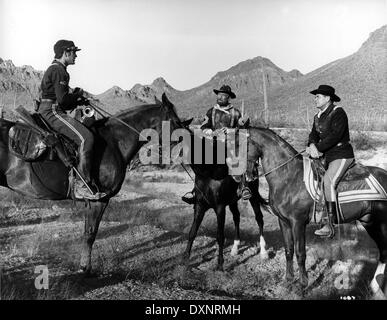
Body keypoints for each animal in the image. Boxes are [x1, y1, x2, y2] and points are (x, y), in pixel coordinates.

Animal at [0, 93, 183, 276]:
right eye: (175, 121)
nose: (181, 151)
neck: (115, 142)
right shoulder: (100, 199)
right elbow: (91, 234)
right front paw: (85, 269)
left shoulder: (92, 202)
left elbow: (87, 231)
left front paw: (84, 265)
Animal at [177, 122, 270, 270]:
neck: (210, 173)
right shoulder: (199, 206)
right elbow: (192, 232)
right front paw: (185, 259)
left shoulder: (220, 208)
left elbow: (220, 235)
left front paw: (220, 264)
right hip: (232, 201)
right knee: (237, 217)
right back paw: (235, 248)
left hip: (253, 196)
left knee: (259, 218)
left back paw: (263, 252)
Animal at [247, 125, 386, 298]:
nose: (247, 176)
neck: (289, 176)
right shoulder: (284, 222)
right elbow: (288, 250)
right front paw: (288, 281)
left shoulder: (298, 222)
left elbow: (300, 253)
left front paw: (302, 285)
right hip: (370, 222)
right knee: (383, 251)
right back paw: (375, 287)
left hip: (382, 223)